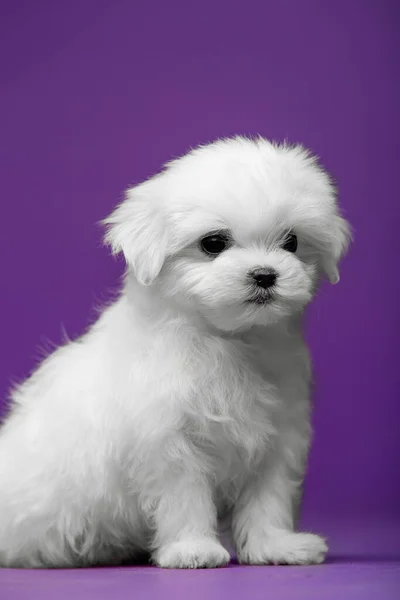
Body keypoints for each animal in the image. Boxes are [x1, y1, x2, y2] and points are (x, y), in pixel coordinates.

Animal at [0, 135, 350, 568]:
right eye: (213, 243)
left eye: (292, 242)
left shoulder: (279, 434)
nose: (265, 275)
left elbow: (268, 496)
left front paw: (276, 546)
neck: (228, 341)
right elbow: (184, 497)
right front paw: (193, 549)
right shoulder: (169, 440)